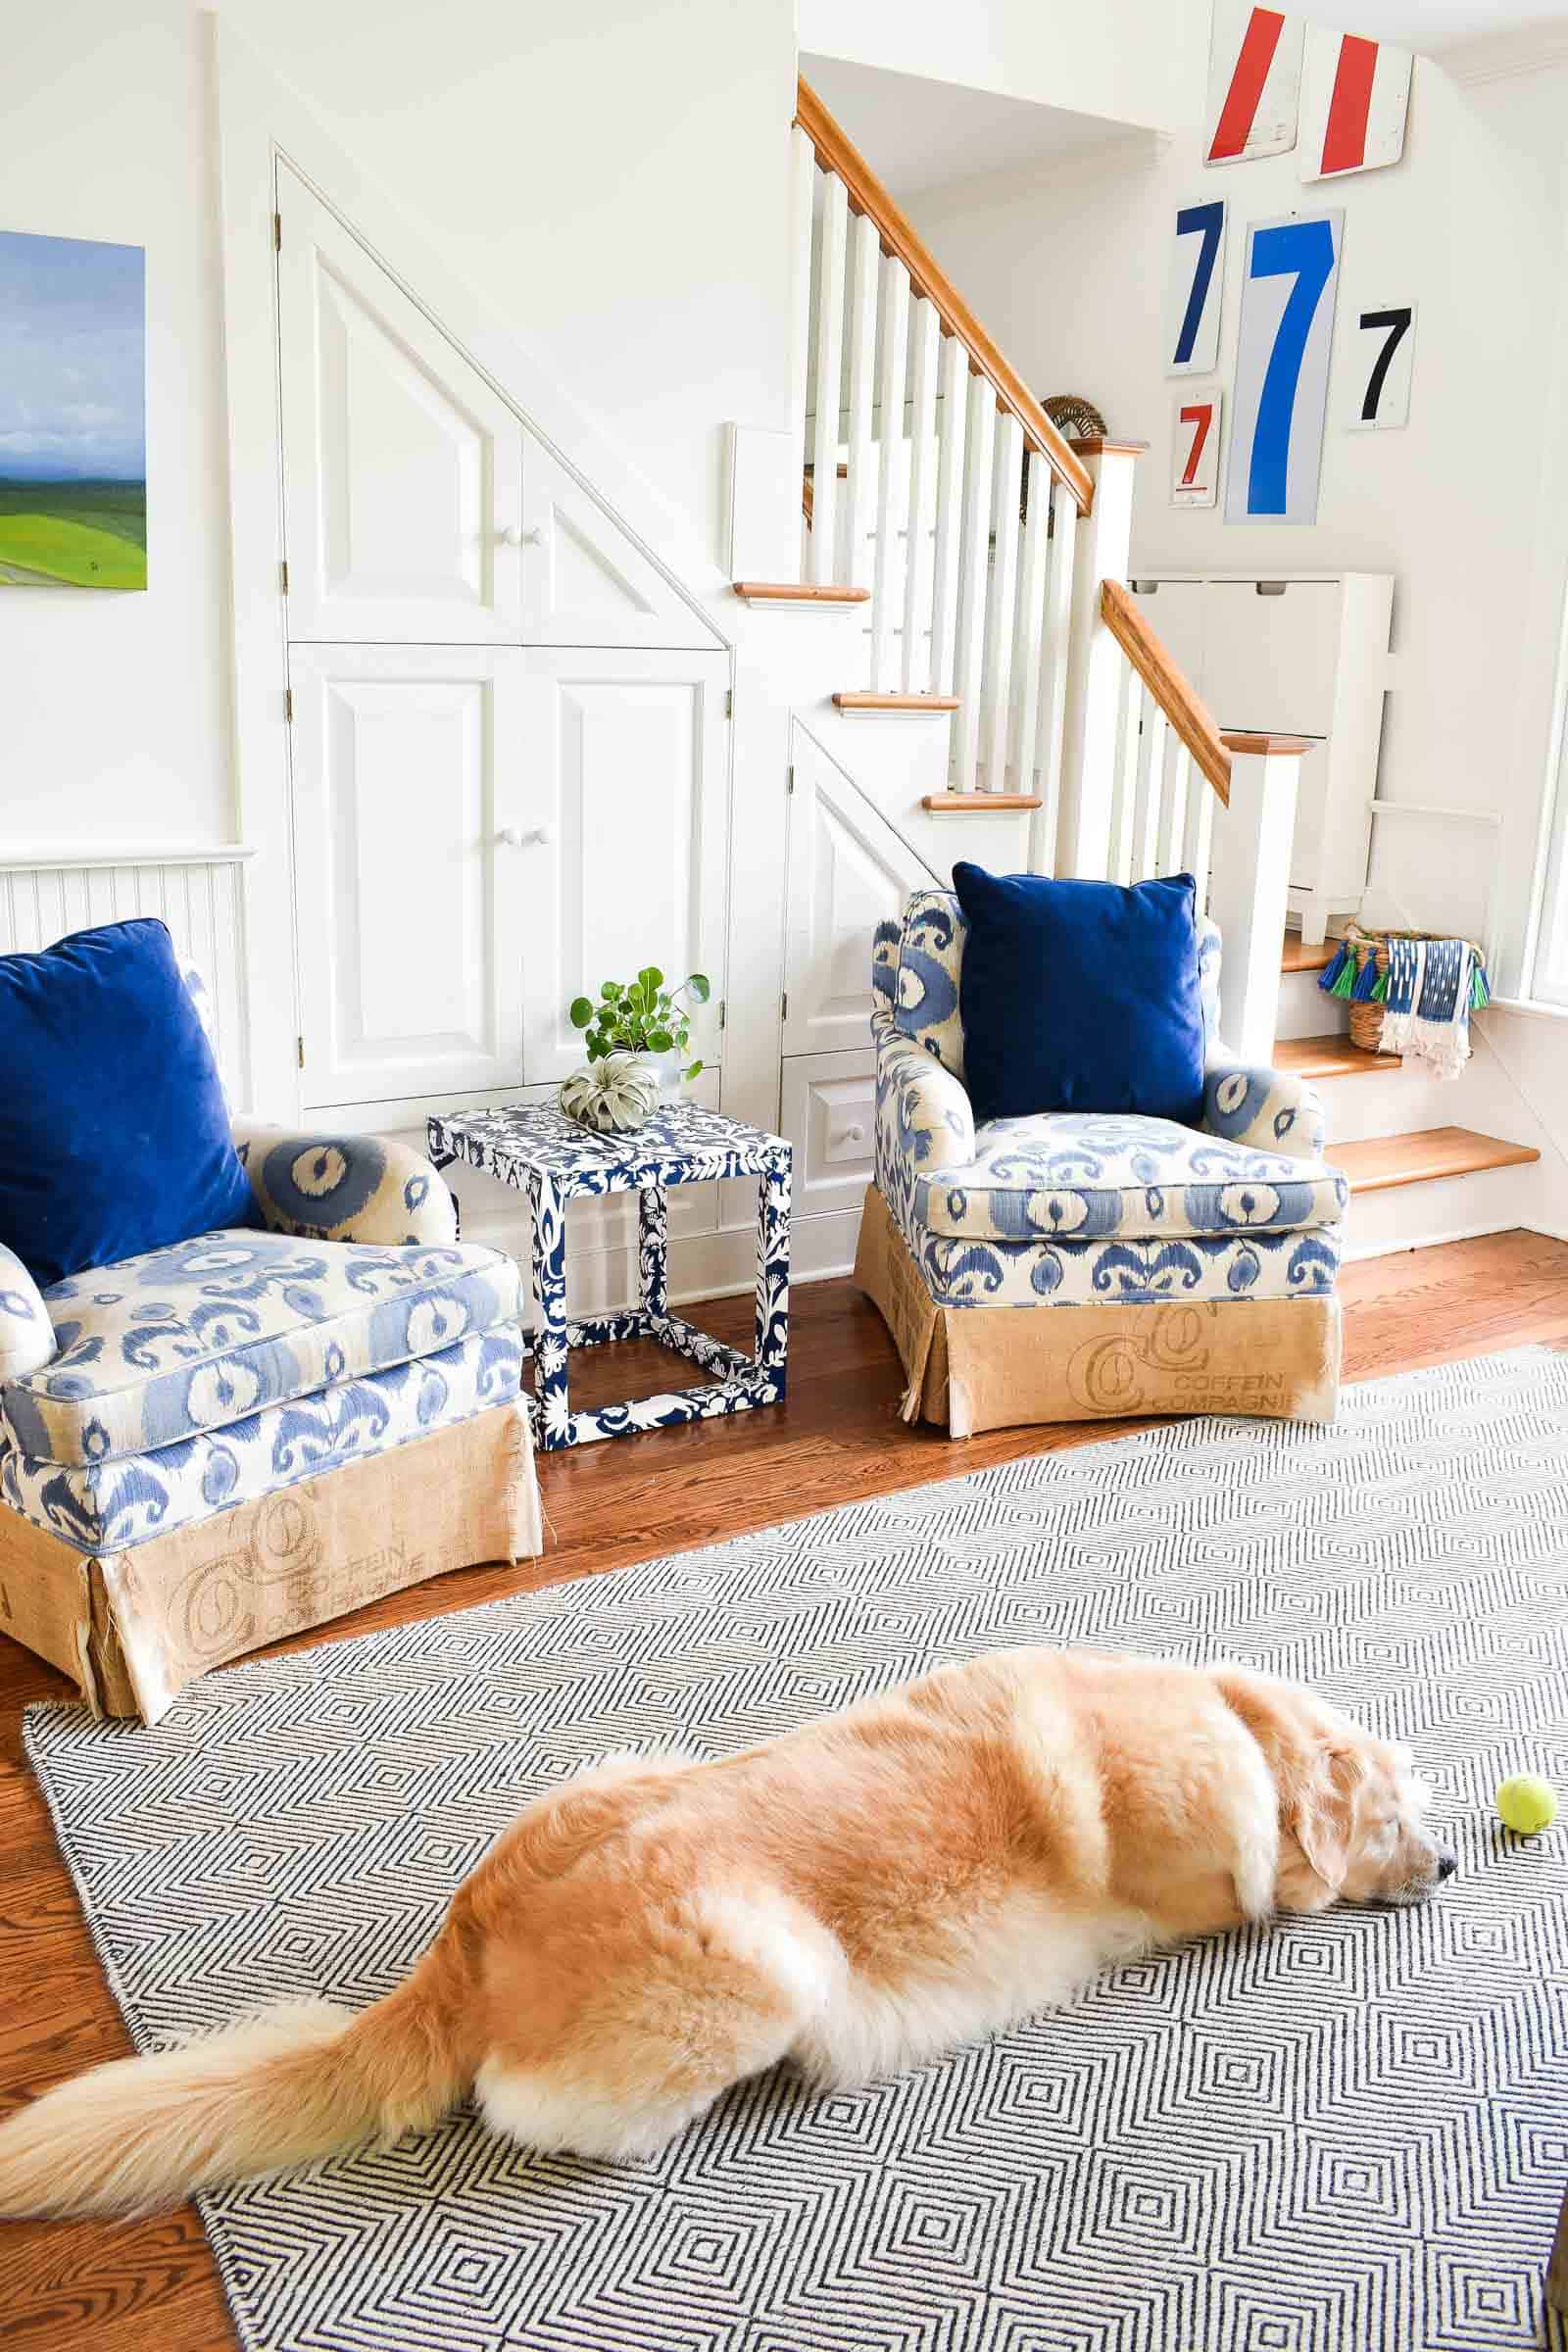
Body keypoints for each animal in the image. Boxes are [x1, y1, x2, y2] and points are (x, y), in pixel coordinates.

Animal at [0, 1646, 1457, 2211]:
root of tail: (465, 1952)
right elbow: (1259, 1881)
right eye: (1396, 1814)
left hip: (625, 1766)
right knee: (546, 2111)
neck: (1235, 1723)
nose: (1447, 1861)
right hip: (765, 1965)